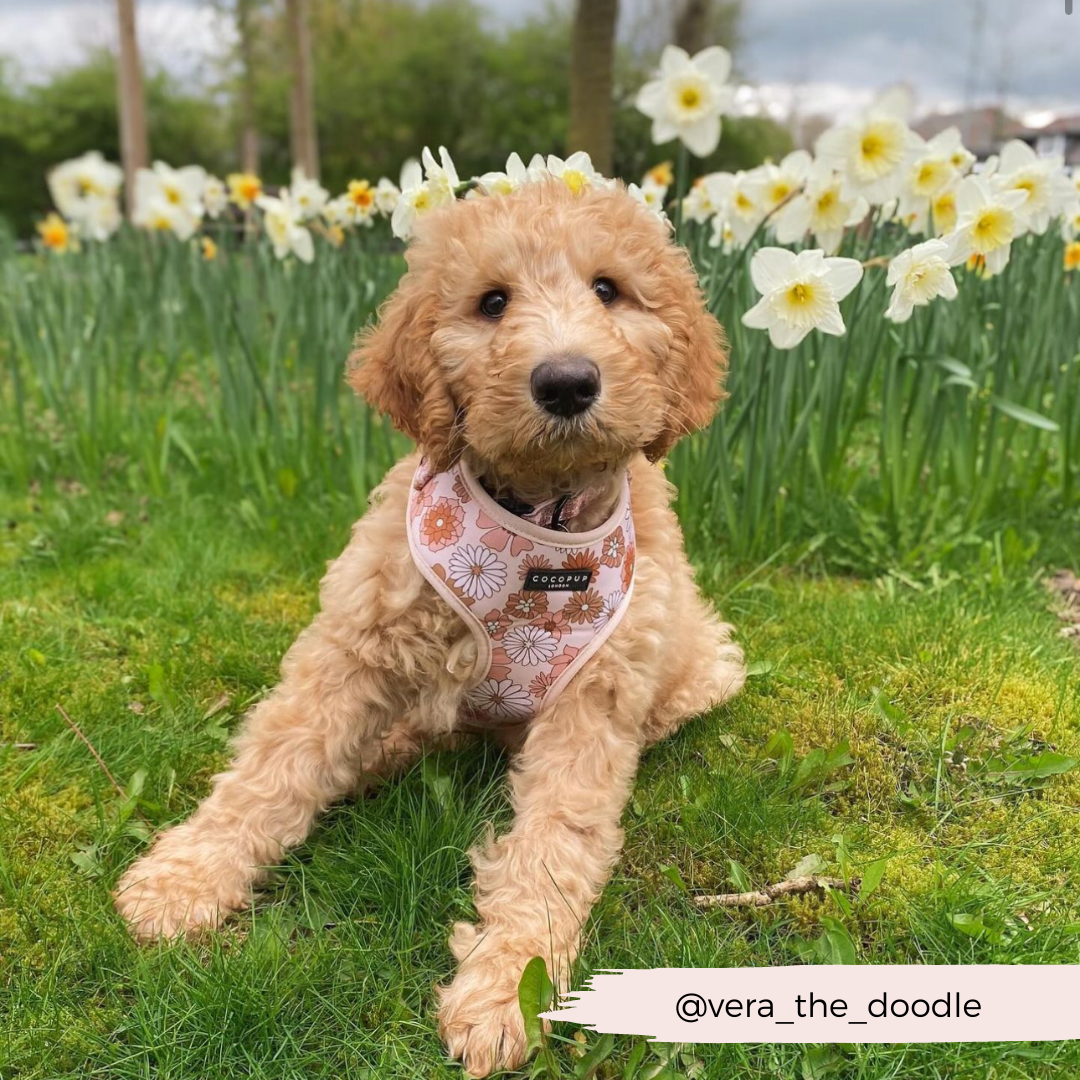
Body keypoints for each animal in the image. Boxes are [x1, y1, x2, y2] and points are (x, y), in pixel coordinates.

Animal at [113, 174, 747, 1071]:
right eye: (492, 301)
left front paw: (507, 989)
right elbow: (274, 763)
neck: (538, 520)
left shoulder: (595, 701)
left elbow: (554, 845)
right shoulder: (357, 635)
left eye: (608, 290)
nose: (566, 382)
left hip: (699, 669)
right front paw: (187, 878)